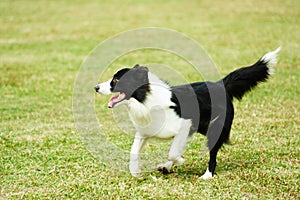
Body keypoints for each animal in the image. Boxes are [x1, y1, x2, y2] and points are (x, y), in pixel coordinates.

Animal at [94, 47, 282, 179]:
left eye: (116, 80)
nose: (96, 87)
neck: (145, 99)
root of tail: (220, 84)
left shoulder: (185, 124)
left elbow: (173, 152)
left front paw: (180, 160)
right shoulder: (145, 131)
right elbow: (134, 151)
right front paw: (135, 172)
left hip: (215, 128)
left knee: (212, 153)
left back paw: (207, 175)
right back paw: (166, 166)